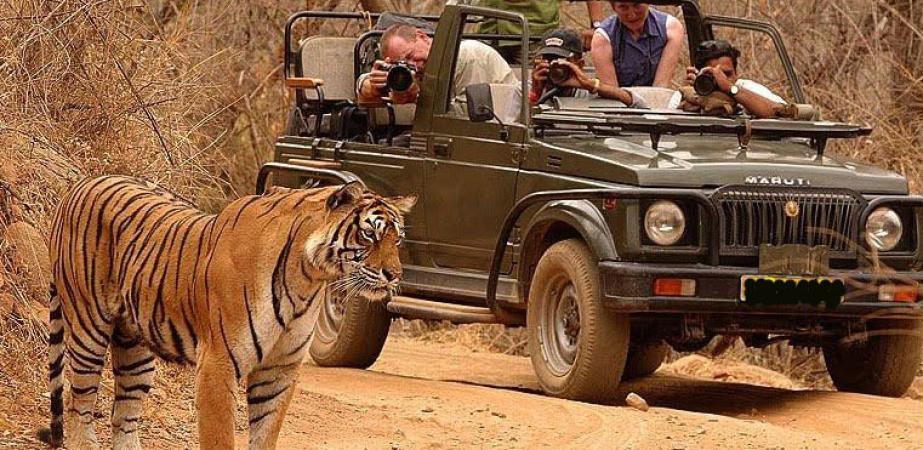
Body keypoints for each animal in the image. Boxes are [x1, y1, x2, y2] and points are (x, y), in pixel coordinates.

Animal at [41, 176, 416, 450]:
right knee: (78, 405)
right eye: (369, 235)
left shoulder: (278, 370)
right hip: (88, 329)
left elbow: (265, 436)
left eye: (397, 240)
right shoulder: (217, 363)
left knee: (123, 417)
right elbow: (220, 438)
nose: (394, 275)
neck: (308, 278)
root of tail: (77, 186)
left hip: (135, 348)